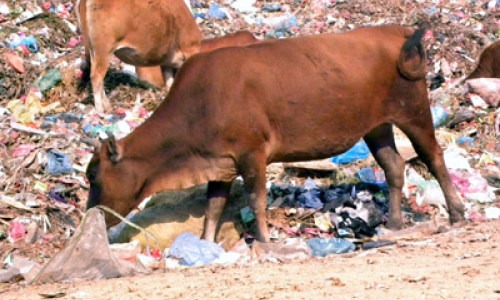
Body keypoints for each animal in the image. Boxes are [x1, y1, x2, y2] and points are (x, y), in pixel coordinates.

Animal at [85, 24, 464, 243]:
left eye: (93, 175)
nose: (90, 215)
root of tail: (396, 30)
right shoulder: (220, 162)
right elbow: (213, 208)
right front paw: (206, 244)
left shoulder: (252, 154)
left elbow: (256, 200)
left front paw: (265, 243)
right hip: (376, 125)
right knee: (394, 166)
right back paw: (396, 223)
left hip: (413, 110)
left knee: (433, 155)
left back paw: (457, 212)